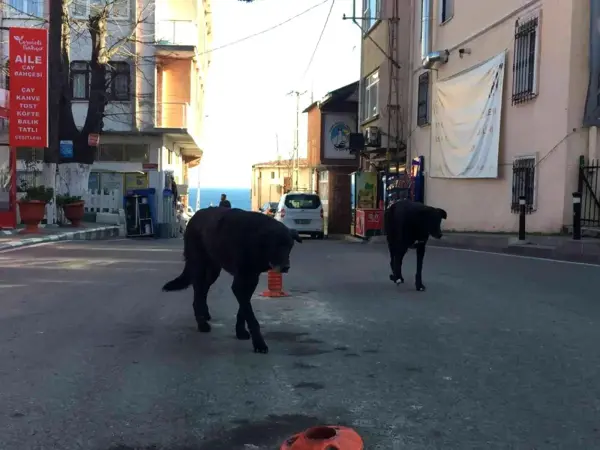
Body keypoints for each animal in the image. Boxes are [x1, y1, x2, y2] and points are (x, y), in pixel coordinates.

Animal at [161, 206, 300, 354]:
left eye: (290, 246)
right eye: (276, 246)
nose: (286, 267)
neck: (256, 241)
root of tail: (195, 216)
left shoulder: (251, 281)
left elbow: (243, 310)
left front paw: (240, 331)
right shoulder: (239, 285)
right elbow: (250, 315)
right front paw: (259, 343)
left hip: (213, 271)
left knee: (203, 291)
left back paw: (204, 314)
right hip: (199, 266)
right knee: (198, 293)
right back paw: (202, 324)